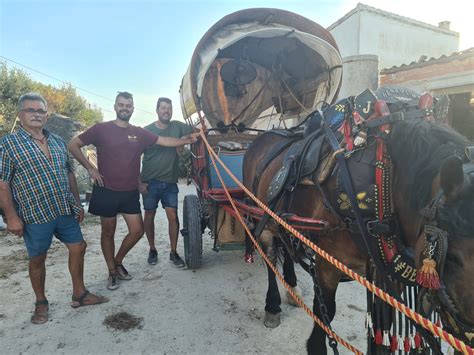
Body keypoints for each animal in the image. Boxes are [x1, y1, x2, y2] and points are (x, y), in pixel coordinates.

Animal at [243, 101, 474, 354]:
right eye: (451, 258)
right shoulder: (328, 260)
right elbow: (325, 311)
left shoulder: (387, 276)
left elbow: (383, 323)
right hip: (260, 216)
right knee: (269, 255)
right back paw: (272, 305)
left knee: (286, 244)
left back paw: (292, 286)